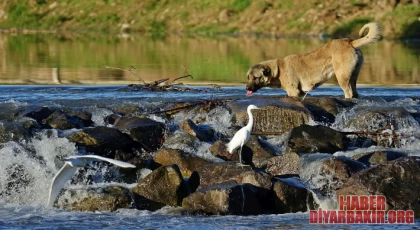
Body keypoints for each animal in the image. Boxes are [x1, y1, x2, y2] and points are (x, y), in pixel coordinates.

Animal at [246, 22, 380, 98]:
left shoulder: (293, 91)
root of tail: (350, 42)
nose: (246, 88)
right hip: (353, 77)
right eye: (248, 77)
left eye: (255, 77)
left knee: (349, 93)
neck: (278, 69)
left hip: (342, 77)